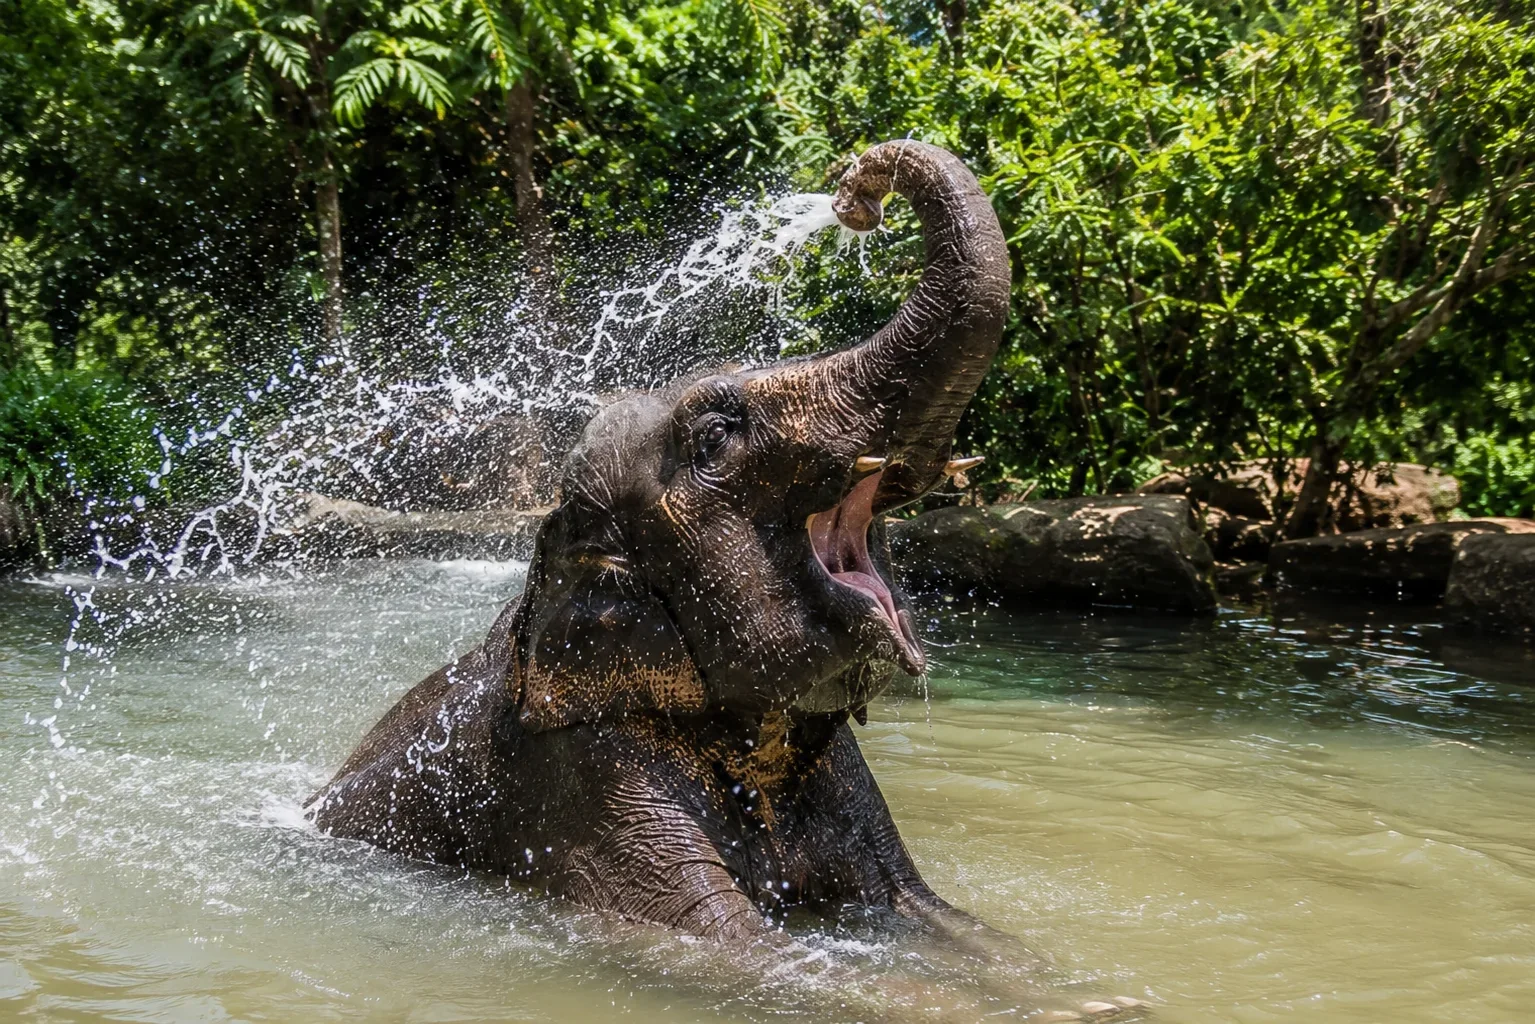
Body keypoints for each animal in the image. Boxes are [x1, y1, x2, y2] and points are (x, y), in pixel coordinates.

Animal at [308, 140, 1144, 1021]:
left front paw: (1096, 995)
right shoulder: (578, 779)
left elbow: (929, 912)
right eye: (714, 437)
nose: (855, 190)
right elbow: (730, 950)